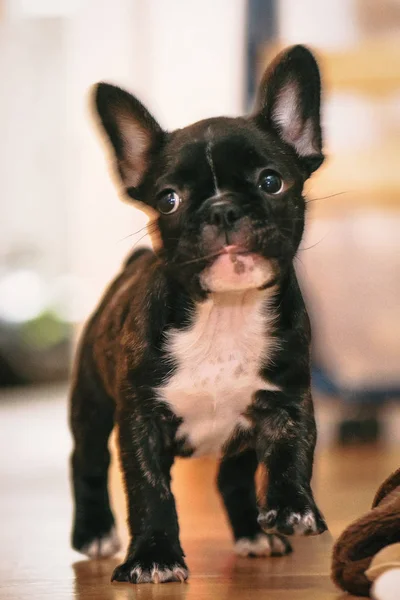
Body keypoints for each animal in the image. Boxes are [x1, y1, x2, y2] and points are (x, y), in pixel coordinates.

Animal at [70, 44, 328, 584]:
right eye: (169, 199)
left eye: (271, 181)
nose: (223, 209)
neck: (223, 315)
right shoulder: (142, 419)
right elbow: (150, 492)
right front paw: (152, 556)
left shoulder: (287, 399)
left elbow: (294, 452)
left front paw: (292, 508)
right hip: (91, 402)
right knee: (85, 460)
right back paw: (94, 532)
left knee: (233, 479)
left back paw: (254, 533)